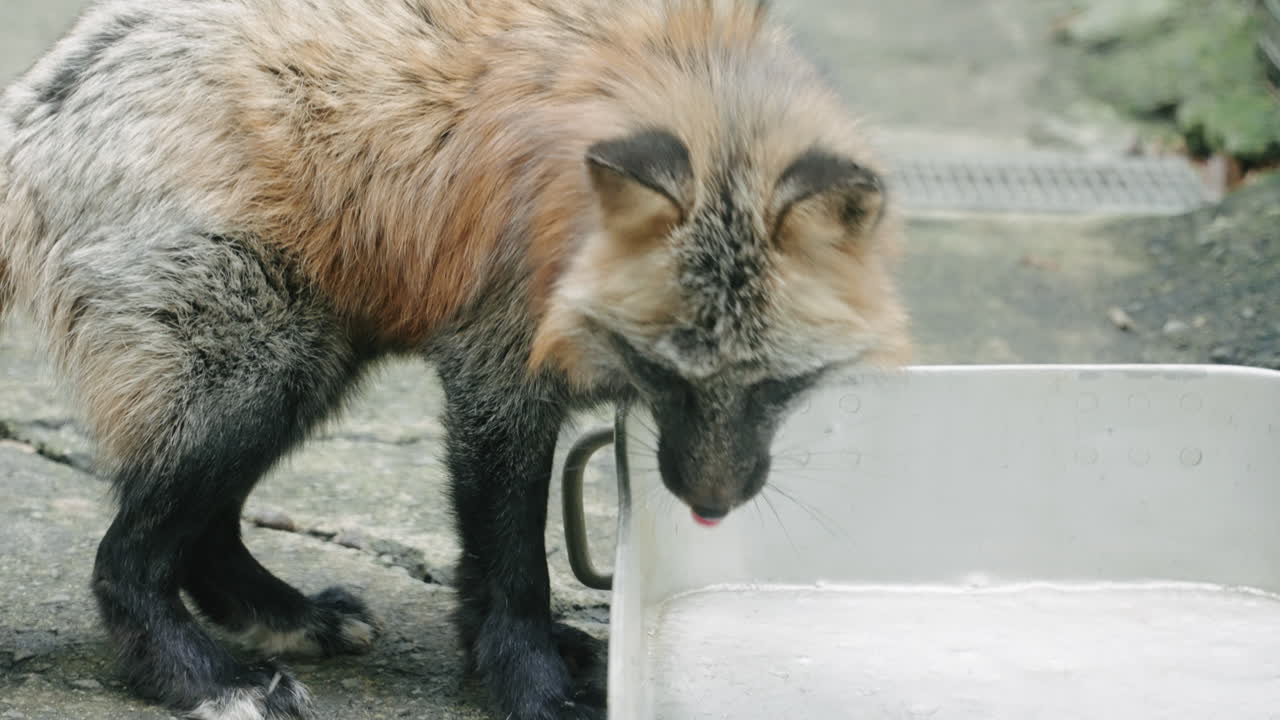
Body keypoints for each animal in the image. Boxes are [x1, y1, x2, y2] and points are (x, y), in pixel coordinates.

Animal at [0, 0, 911, 718]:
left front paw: (511, 660)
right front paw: (531, 687)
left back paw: (281, 617)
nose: (711, 508)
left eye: (779, 382)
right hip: (261, 371)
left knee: (203, 531)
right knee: (123, 560)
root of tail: (35, 103)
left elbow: (489, 569)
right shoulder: (495, 368)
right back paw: (203, 678)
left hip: (301, 369)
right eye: (660, 372)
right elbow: (512, 561)